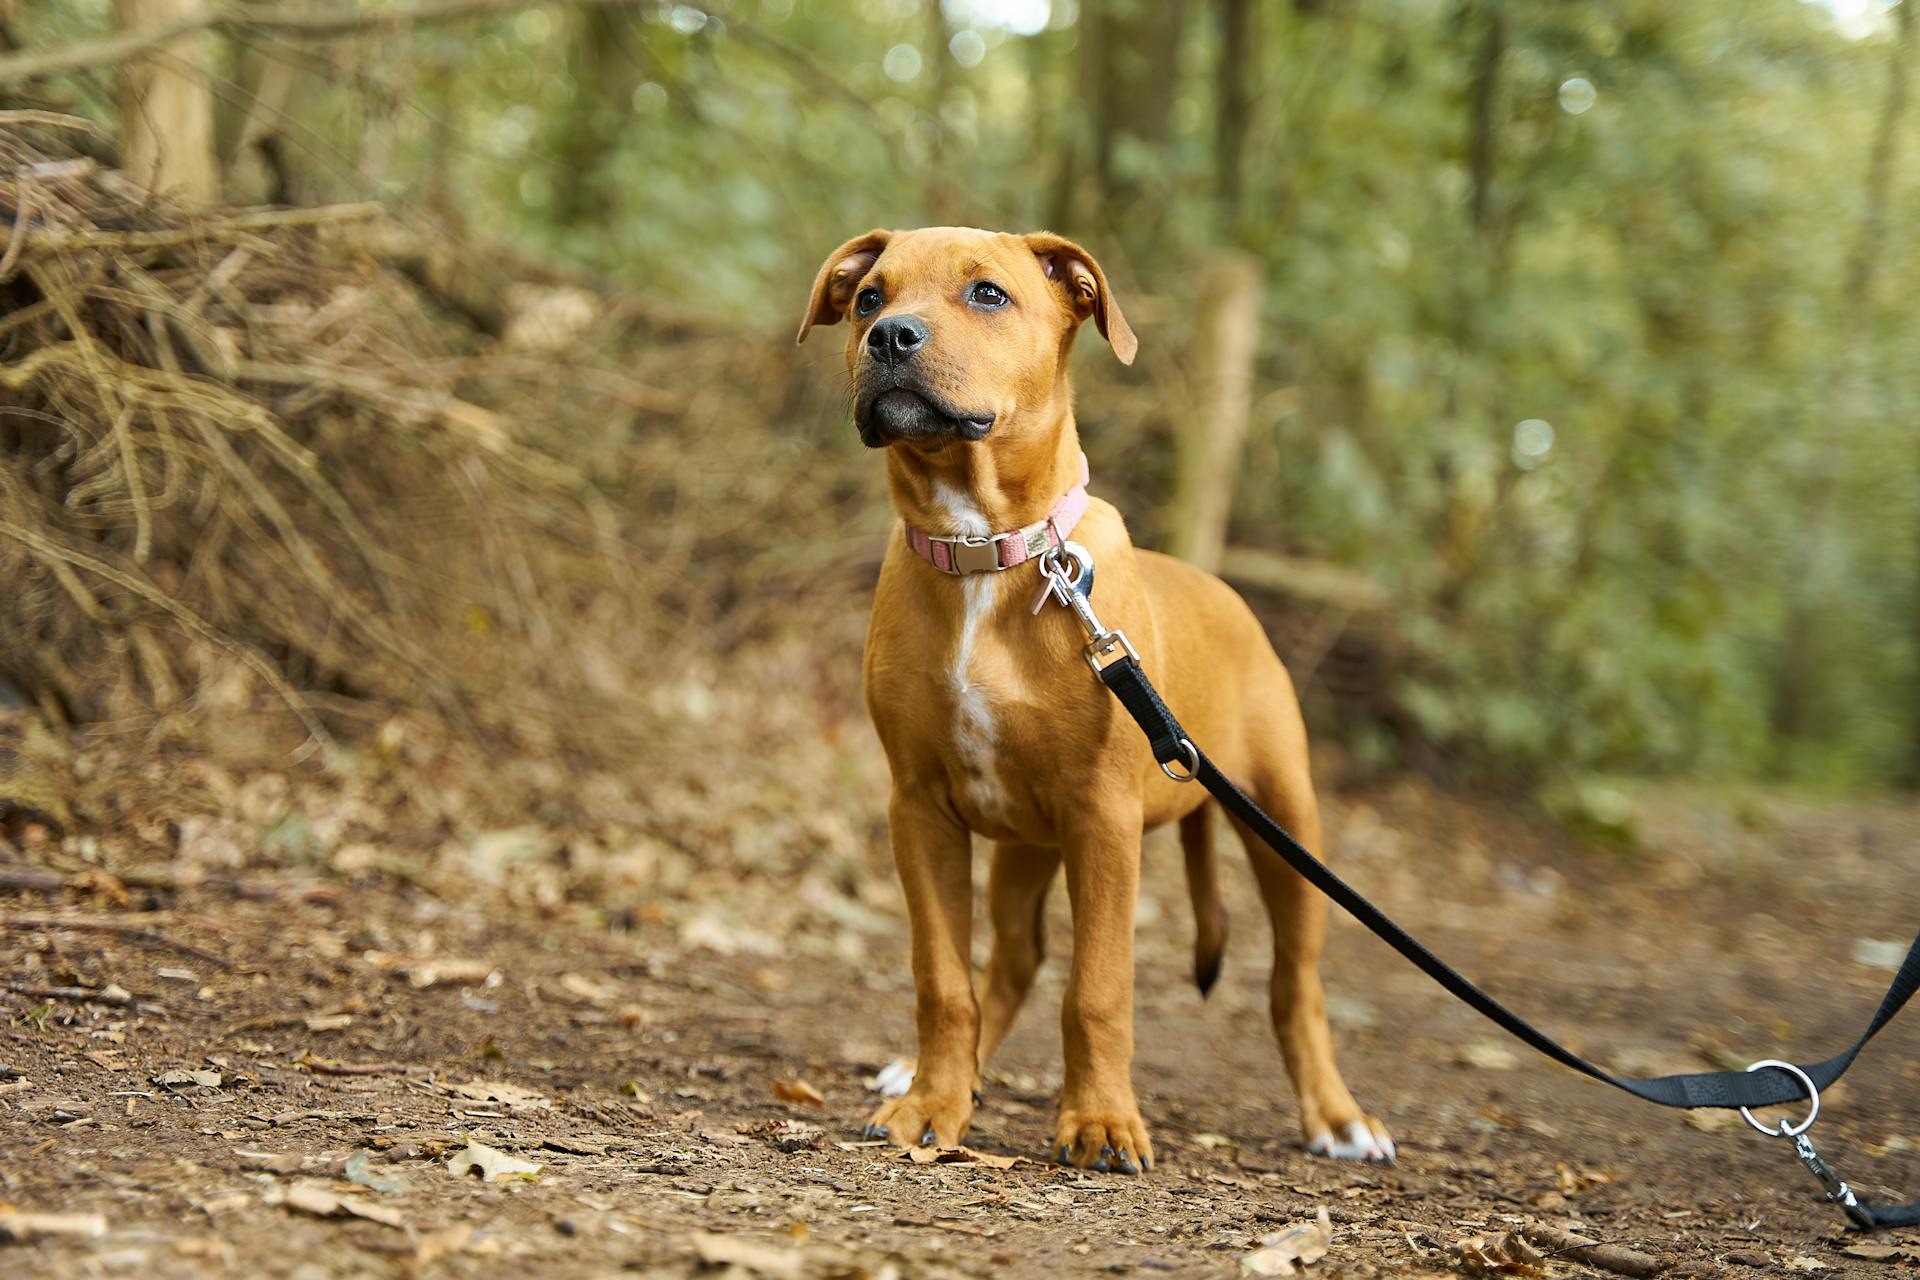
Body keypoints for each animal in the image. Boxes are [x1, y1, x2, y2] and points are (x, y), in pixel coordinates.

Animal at [794, 227, 1397, 1174]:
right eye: (867, 299)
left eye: (989, 294)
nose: (891, 336)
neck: (989, 551)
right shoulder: (920, 808)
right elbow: (943, 979)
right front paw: (931, 1105)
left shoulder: (1102, 817)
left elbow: (1099, 988)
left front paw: (1103, 1123)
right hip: (1023, 841)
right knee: (1011, 959)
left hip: (1285, 823)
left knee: (1293, 985)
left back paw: (1338, 1118)